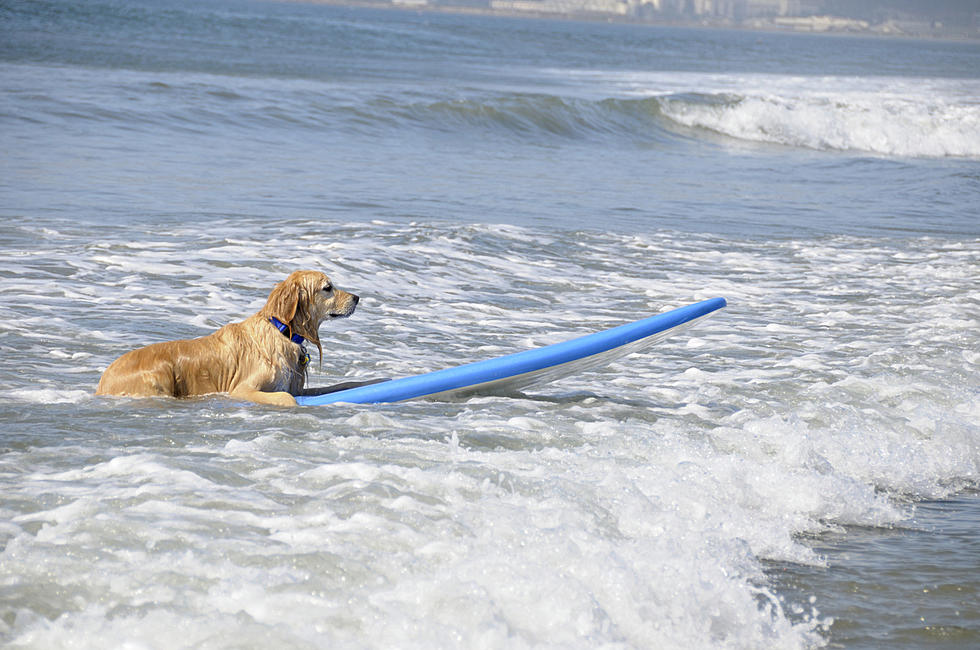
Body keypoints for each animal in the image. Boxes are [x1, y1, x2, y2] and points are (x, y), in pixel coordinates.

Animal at [95, 270, 360, 404]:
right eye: (327, 288)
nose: (357, 297)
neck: (282, 330)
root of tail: (101, 383)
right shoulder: (242, 389)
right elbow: (287, 398)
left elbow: (341, 386)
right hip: (160, 375)